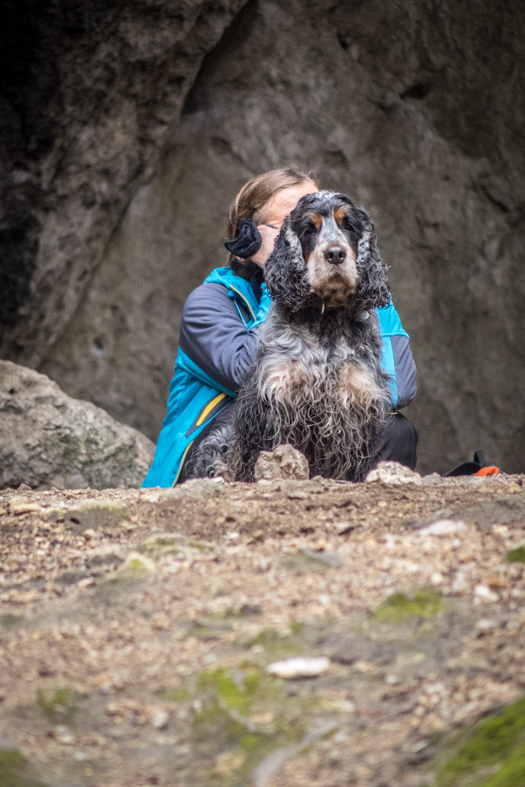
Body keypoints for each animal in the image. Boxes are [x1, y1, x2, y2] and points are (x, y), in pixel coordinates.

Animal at [188, 193, 392, 484]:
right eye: (309, 230)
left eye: (349, 226)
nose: (335, 254)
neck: (325, 321)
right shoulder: (277, 400)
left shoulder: (355, 400)